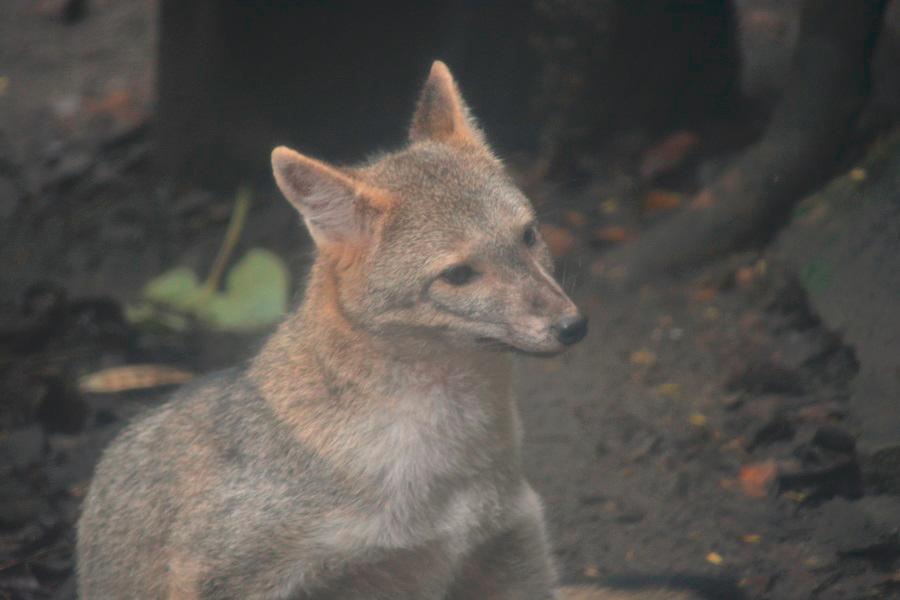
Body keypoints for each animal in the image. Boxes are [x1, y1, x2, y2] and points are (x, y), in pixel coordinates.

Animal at [77, 62, 696, 600]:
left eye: (529, 236)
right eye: (459, 275)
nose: (573, 326)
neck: (441, 471)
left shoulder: (511, 552)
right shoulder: (227, 574)